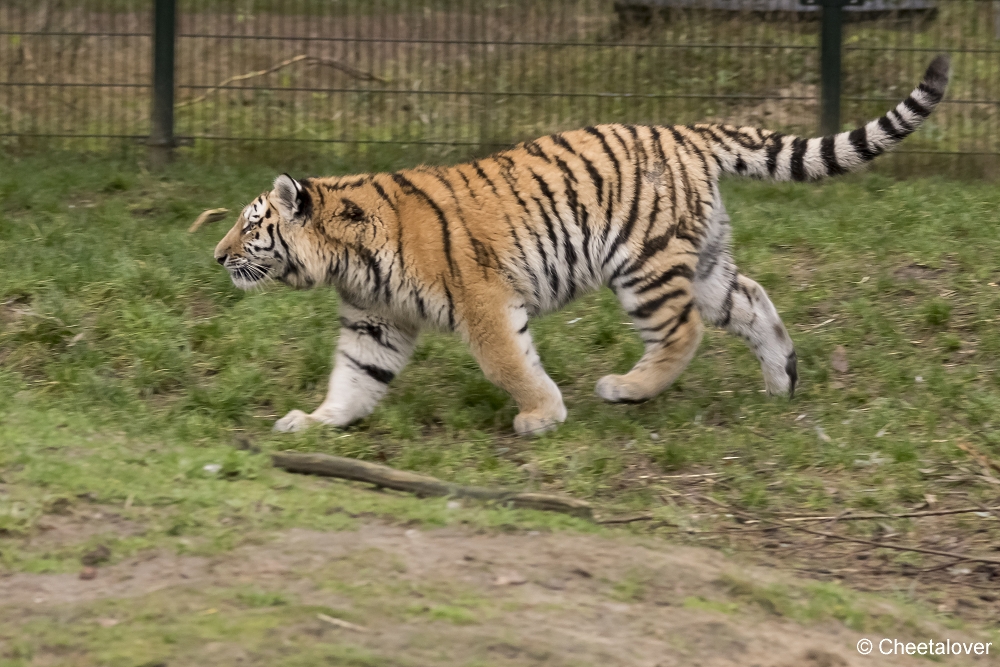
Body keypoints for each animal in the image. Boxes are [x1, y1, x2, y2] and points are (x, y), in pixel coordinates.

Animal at [215, 54, 948, 436]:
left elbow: (509, 364)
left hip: (645, 265)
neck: (350, 260)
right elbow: (354, 378)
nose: (217, 256)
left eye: (252, 226)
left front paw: (541, 416)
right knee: (750, 300)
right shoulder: (375, 321)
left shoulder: (483, 302)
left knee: (684, 330)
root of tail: (687, 130)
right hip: (706, 261)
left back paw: (626, 389)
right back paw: (782, 381)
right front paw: (315, 421)